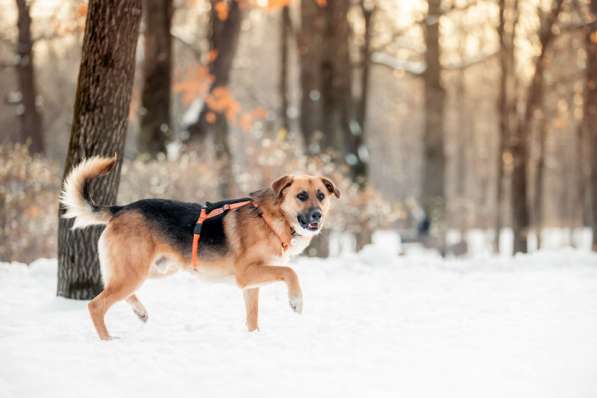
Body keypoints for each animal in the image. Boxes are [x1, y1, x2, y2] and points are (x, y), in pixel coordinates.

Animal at [61, 155, 340, 338]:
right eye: (302, 196)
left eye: (321, 196)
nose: (317, 216)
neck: (272, 219)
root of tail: (120, 209)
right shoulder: (246, 274)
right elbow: (290, 272)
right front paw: (296, 301)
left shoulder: (250, 285)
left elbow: (252, 317)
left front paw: (253, 337)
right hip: (134, 272)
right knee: (96, 305)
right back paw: (107, 340)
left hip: (153, 269)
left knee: (111, 289)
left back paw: (140, 312)